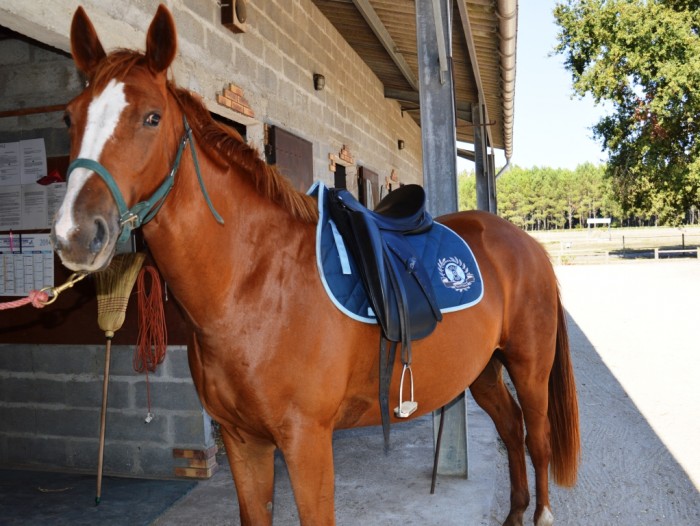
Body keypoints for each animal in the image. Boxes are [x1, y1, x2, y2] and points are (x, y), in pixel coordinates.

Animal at [53, 5, 580, 526]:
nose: (74, 234)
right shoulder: (242, 442)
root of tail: (526, 242)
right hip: (483, 369)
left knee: (535, 438)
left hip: (529, 367)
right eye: (69, 116)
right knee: (511, 428)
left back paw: (540, 514)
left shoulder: (306, 442)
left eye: (152, 117)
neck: (255, 286)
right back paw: (514, 512)